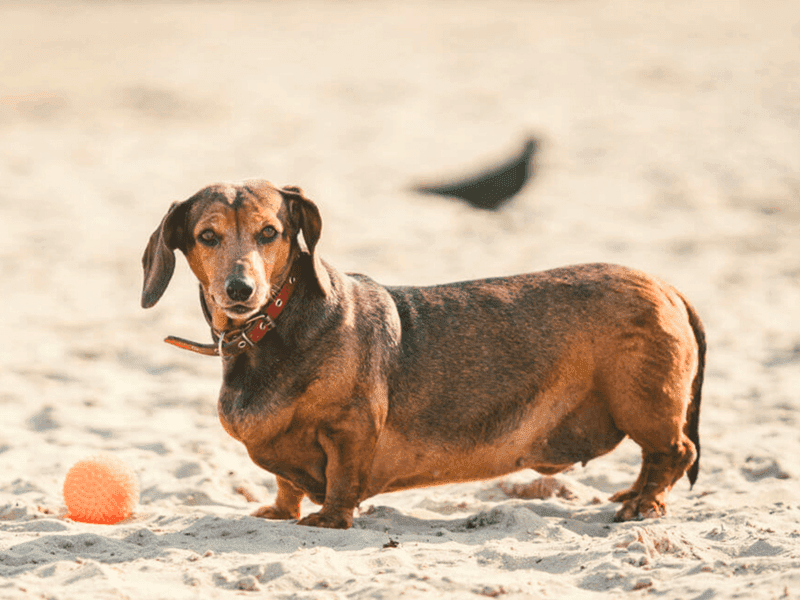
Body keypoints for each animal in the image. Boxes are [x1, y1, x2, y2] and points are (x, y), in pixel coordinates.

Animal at [144, 179, 708, 528]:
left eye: (270, 233)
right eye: (207, 236)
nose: (240, 290)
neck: (270, 328)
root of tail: (668, 287)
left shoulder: (350, 427)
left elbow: (341, 478)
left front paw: (329, 519)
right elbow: (285, 482)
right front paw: (281, 511)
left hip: (643, 403)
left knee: (676, 451)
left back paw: (643, 504)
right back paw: (632, 494)